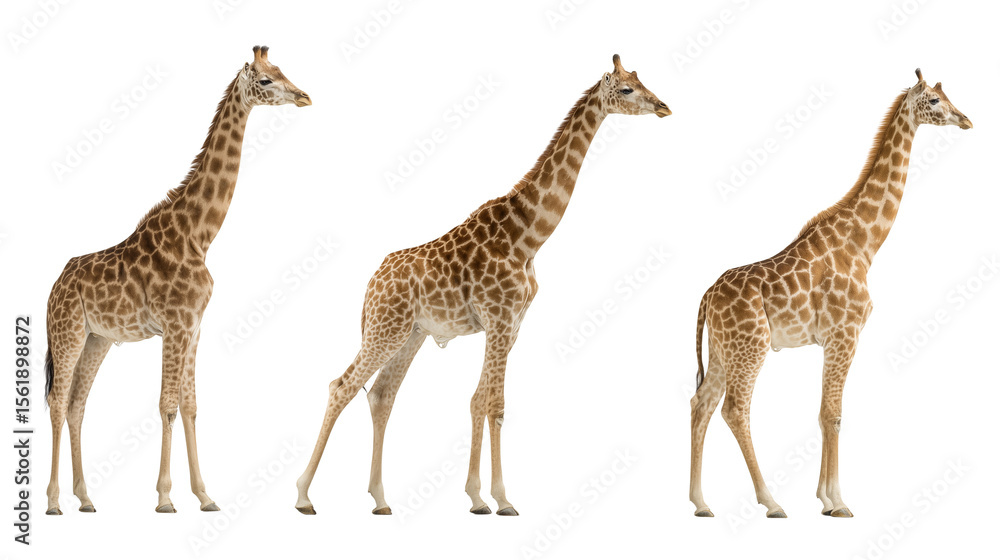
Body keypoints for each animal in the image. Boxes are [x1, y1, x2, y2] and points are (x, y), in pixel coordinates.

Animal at [43, 46, 310, 515]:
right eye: (264, 80)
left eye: (282, 70)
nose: (303, 96)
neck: (198, 235)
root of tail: (53, 287)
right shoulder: (174, 324)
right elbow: (167, 405)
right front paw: (166, 497)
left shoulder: (194, 326)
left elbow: (190, 406)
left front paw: (204, 495)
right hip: (67, 332)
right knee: (57, 404)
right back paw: (54, 501)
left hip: (97, 339)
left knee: (76, 406)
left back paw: (86, 498)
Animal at [294, 54, 670, 516]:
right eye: (627, 89)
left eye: (642, 80)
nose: (663, 106)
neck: (529, 236)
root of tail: (371, 283)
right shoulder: (499, 318)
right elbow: (490, 402)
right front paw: (490, 497)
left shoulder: (513, 325)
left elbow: (488, 401)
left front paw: (489, 495)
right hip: (385, 329)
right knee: (341, 386)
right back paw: (304, 495)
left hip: (410, 333)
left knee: (381, 395)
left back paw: (380, 499)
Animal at [688, 69, 972, 519]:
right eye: (933, 100)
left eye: (947, 97)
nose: (965, 119)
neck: (864, 243)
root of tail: (706, 297)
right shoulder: (845, 333)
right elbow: (834, 414)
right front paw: (838, 502)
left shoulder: (830, 339)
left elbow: (824, 414)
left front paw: (823, 499)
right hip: (751, 346)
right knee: (735, 409)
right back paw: (771, 502)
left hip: (721, 350)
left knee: (701, 405)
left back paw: (701, 503)